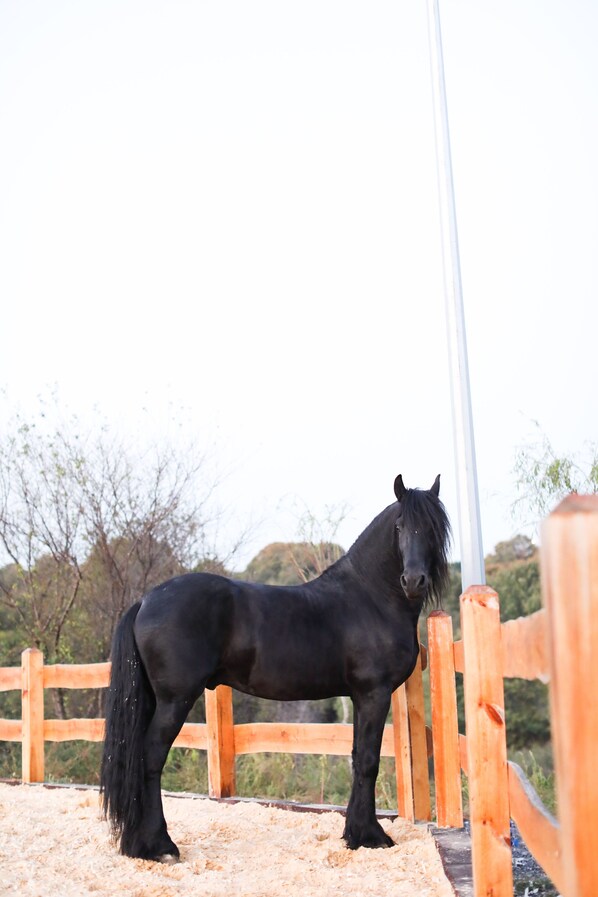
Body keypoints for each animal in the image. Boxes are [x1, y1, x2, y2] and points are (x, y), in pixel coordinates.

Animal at [100, 474, 450, 862]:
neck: (370, 598)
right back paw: (161, 846)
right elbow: (370, 761)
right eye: (400, 527)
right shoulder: (374, 693)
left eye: (432, 529)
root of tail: (146, 600)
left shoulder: (361, 696)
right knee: (150, 758)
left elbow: (358, 757)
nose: (414, 581)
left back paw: (137, 844)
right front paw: (371, 836)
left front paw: (355, 833)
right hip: (174, 700)